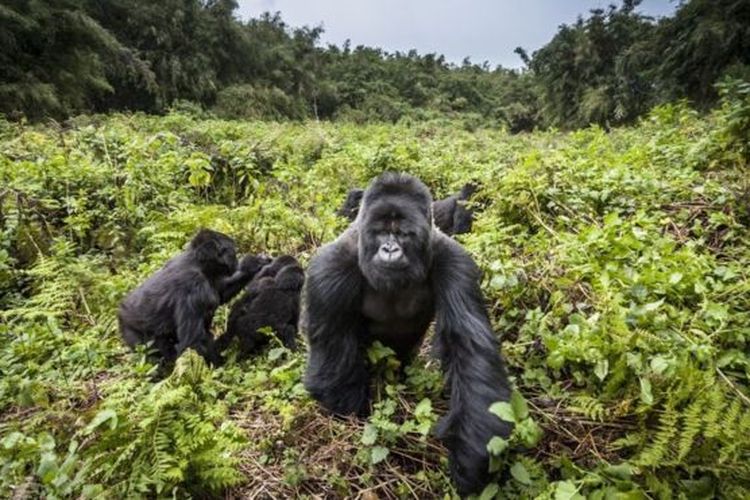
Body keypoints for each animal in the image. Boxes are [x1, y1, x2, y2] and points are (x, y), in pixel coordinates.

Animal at [117, 229, 270, 368]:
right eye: (232, 252)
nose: (236, 261)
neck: (196, 261)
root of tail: (120, 310)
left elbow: (220, 294)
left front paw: (252, 266)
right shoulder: (194, 285)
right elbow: (193, 342)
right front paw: (222, 363)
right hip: (131, 330)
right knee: (150, 354)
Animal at [302, 174, 516, 494]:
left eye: (403, 234)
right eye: (380, 233)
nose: (390, 249)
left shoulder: (455, 262)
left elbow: (468, 347)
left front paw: (472, 460)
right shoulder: (329, 268)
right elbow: (332, 360)